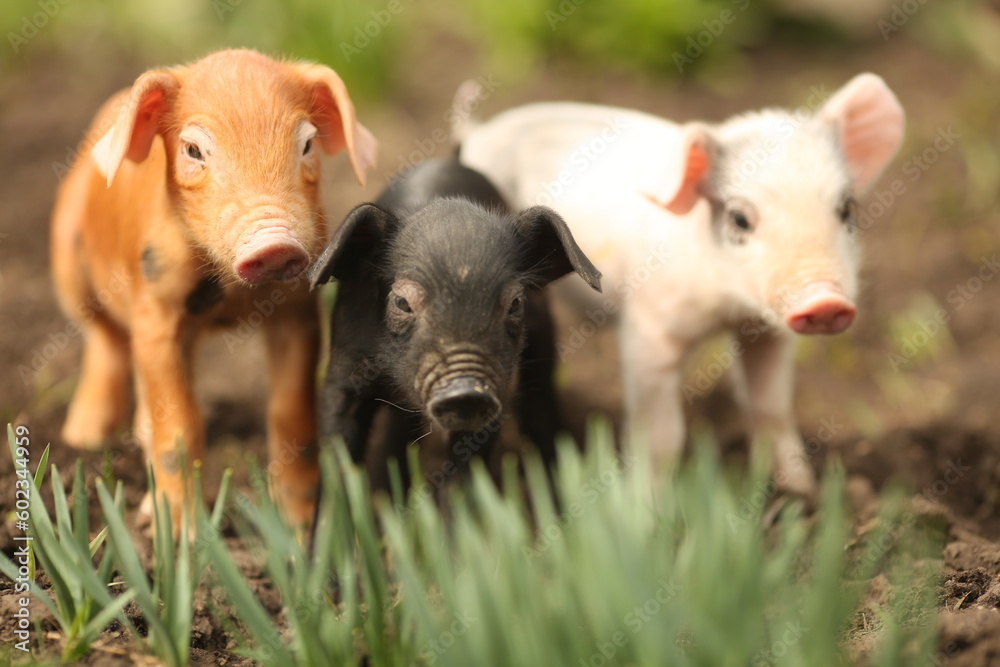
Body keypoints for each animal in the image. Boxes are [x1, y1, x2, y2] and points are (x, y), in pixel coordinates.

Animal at [50, 49, 377, 531]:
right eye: (193, 150)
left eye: (307, 145)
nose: (274, 244)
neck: (230, 298)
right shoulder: (155, 315)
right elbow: (180, 422)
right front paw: (177, 535)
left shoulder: (298, 311)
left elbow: (291, 409)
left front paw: (297, 525)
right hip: (69, 263)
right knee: (104, 338)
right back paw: (85, 438)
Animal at [307, 158, 601, 494]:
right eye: (402, 303)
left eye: (515, 303)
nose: (465, 391)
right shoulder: (345, 362)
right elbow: (338, 448)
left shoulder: (497, 392)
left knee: (540, 408)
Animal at [458, 74, 905, 496]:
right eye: (740, 219)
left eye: (845, 210)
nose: (825, 301)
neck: (728, 309)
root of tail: (478, 132)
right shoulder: (648, 329)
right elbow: (661, 435)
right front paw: (648, 508)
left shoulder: (766, 333)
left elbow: (771, 406)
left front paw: (801, 490)